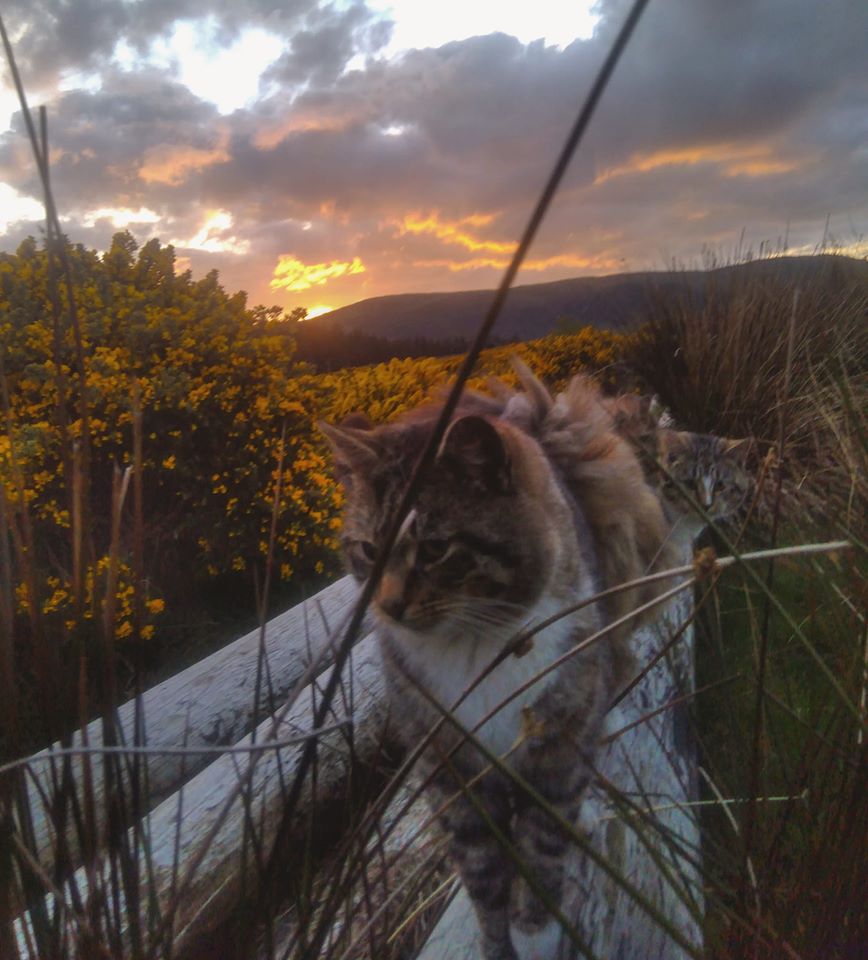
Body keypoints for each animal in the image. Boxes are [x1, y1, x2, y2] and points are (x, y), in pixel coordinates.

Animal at [326, 370, 672, 960]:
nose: (388, 606)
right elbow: (481, 868)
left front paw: (535, 930)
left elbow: (543, 841)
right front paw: (496, 936)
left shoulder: (558, 743)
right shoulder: (448, 764)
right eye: (368, 550)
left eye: (435, 548)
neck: (474, 646)